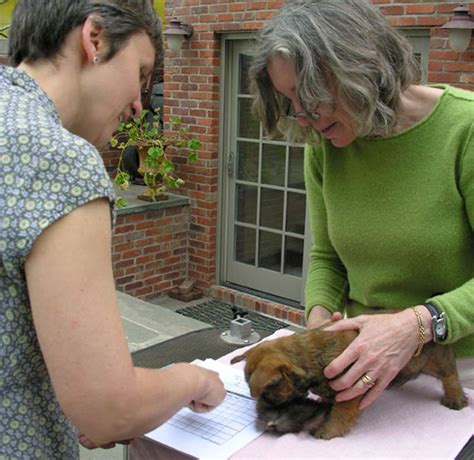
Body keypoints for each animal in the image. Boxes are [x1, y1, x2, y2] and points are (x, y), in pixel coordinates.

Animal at [231, 328, 468, 440]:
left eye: (266, 393)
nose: (262, 412)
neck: (310, 358)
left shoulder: (350, 393)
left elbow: (340, 413)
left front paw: (328, 431)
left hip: (438, 362)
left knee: (451, 377)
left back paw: (455, 398)